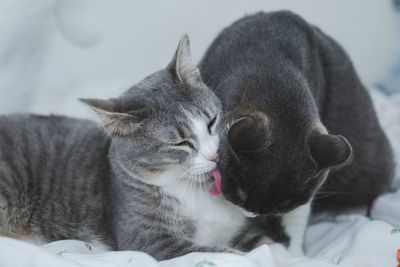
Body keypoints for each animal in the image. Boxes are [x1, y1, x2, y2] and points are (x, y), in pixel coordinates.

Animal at [0, 35, 268, 260]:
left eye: (212, 122)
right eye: (181, 143)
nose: (215, 155)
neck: (197, 192)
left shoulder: (240, 230)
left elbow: (264, 242)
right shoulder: (149, 241)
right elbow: (224, 253)